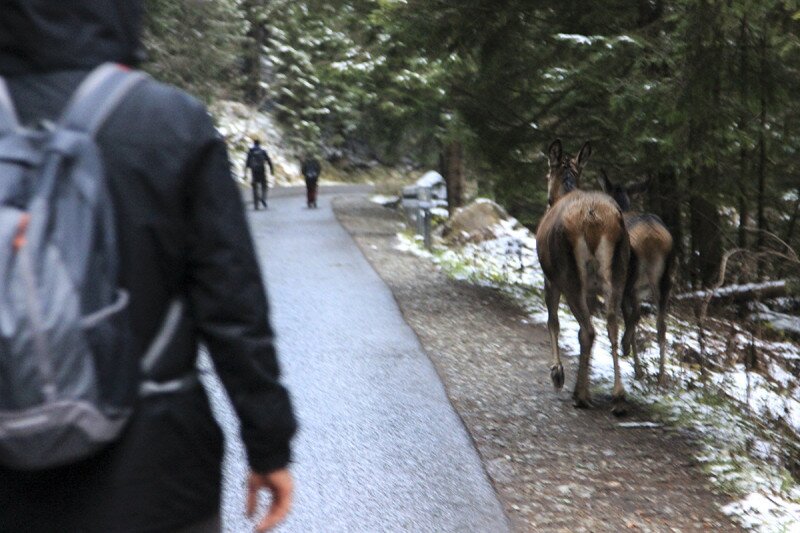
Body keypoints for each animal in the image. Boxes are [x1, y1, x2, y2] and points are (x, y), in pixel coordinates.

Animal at [536, 139, 636, 414]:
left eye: (547, 173)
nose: (547, 197)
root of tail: (593, 216)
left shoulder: (550, 279)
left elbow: (553, 322)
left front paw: (557, 373)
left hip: (569, 273)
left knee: (589, 330)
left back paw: (580, 394)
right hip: (618, 269)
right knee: (611, 324)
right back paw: (618, 395)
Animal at [600, 169, 676, 382]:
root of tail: (653, 240)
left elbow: (628, 316)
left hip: (629, 276)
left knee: (635, 315)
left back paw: (627, 348)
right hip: (666, 280)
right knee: (661, 325)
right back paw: (661, 376)